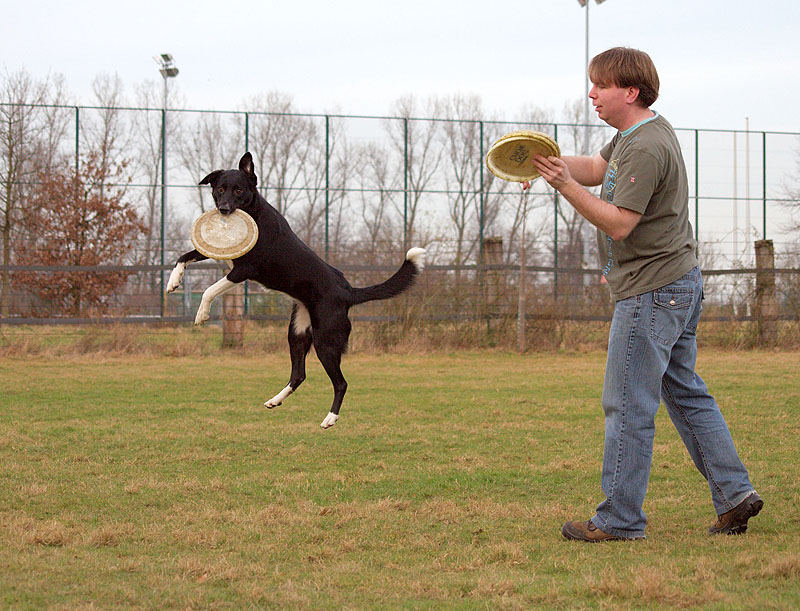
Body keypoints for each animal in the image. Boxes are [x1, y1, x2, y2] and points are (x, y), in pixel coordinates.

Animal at [164, 153, 424, 430]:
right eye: (220, 188)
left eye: (239, 190)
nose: (223, 209)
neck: (255, 212)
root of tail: (348, 293)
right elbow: (184, 257)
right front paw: (172, 282)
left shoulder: (242, 271)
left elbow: (209, 290)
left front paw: (201, 315)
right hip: (297, 332)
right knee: (299, 374)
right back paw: (275, 400)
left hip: (325, 341)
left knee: (341, 383)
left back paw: (330, 418)